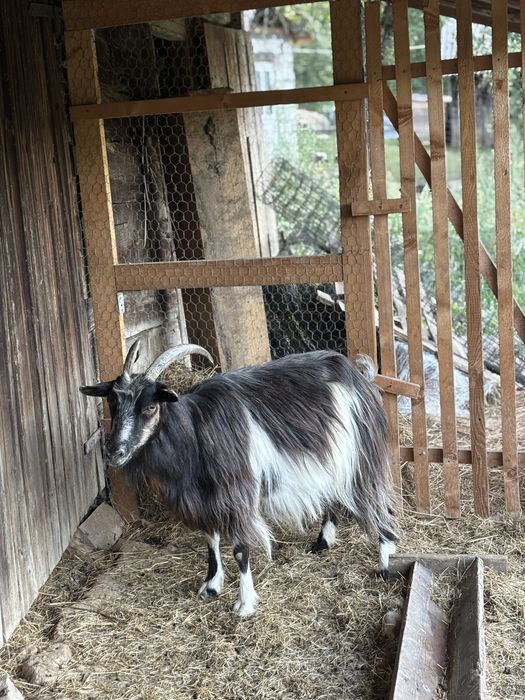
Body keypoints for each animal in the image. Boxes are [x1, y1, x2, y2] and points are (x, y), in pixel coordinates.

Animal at [80, 342, 397, 617]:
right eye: (112, 403)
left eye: (150, 407)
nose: (114, 452)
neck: (197, 432)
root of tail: (359, 376)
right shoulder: (205, 497)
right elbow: (211, 539)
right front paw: (210, 586)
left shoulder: (238, 493)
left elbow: (240, 550)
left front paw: (244, 604)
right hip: (330, 458)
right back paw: (323, 543)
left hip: (360, 455)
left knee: (374, 501)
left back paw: (384, 562)